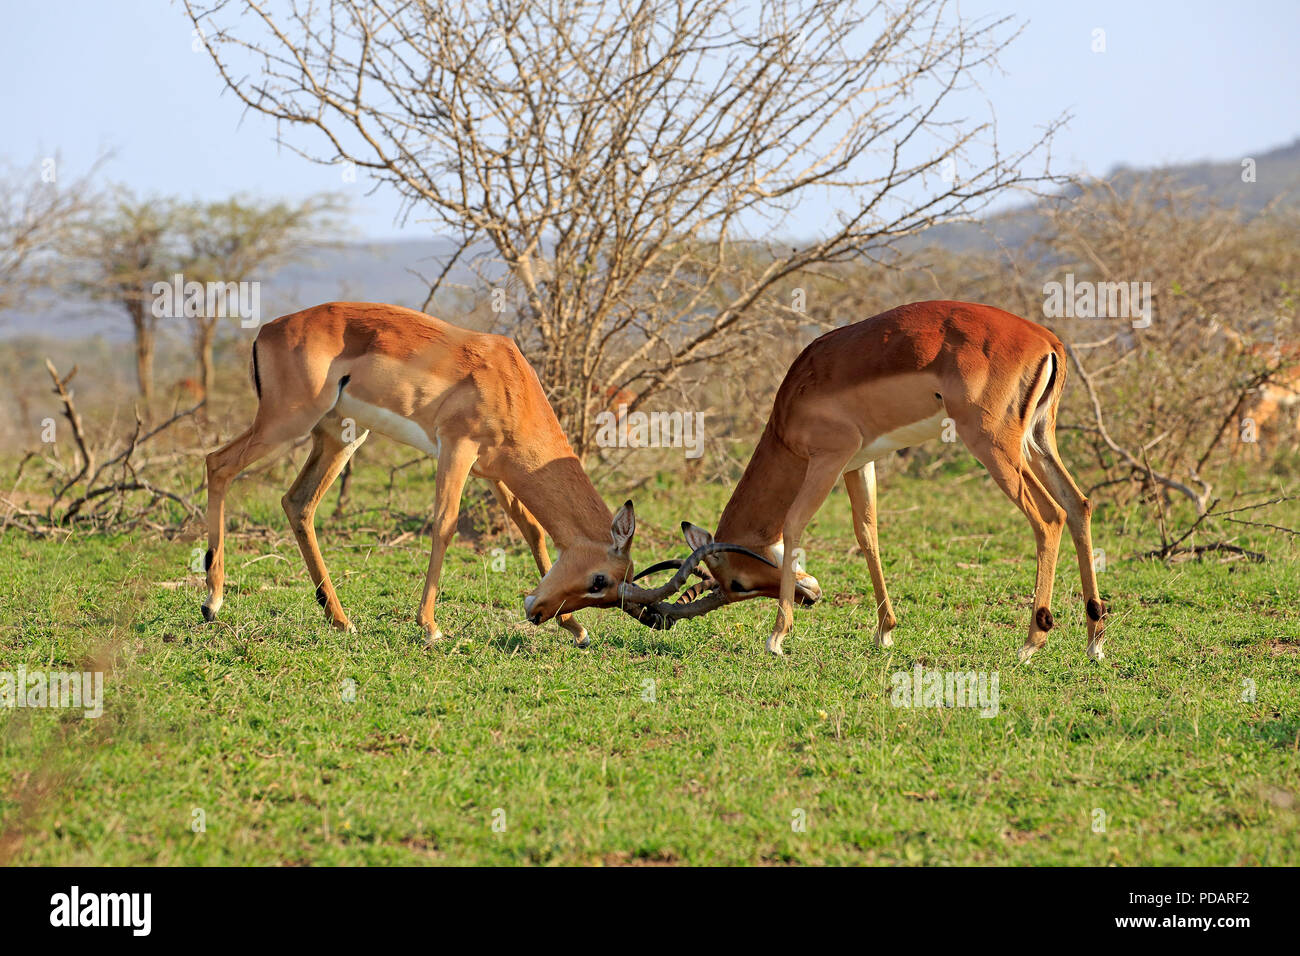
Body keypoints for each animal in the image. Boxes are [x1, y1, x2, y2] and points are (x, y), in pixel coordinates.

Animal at [201, 301, 718, 644]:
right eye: (600, 581)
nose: (537, 612)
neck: (510, 382)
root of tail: (267, 329)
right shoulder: (458, 448)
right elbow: (445, 526)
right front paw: (430, 626)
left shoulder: (496, 471)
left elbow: (532, 530)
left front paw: (574, 628)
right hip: (287, 422)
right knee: (217, 464)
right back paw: (212, 602)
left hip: (339, 437)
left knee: (297, 503)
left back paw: (340, 618)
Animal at [541, 301, 1108, 662]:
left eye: (737, 585)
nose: (812, 596)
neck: (792, 405)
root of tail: (1047, 341)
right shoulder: (860, 463)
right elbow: (868, 535)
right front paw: (885, 632)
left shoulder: (828, 459)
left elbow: (794, 524)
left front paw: (777, 636)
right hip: (1036, 440)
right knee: (1079, 504)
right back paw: (1094, 639)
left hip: (991, 443)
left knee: (1049, 516)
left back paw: (1032, 641)